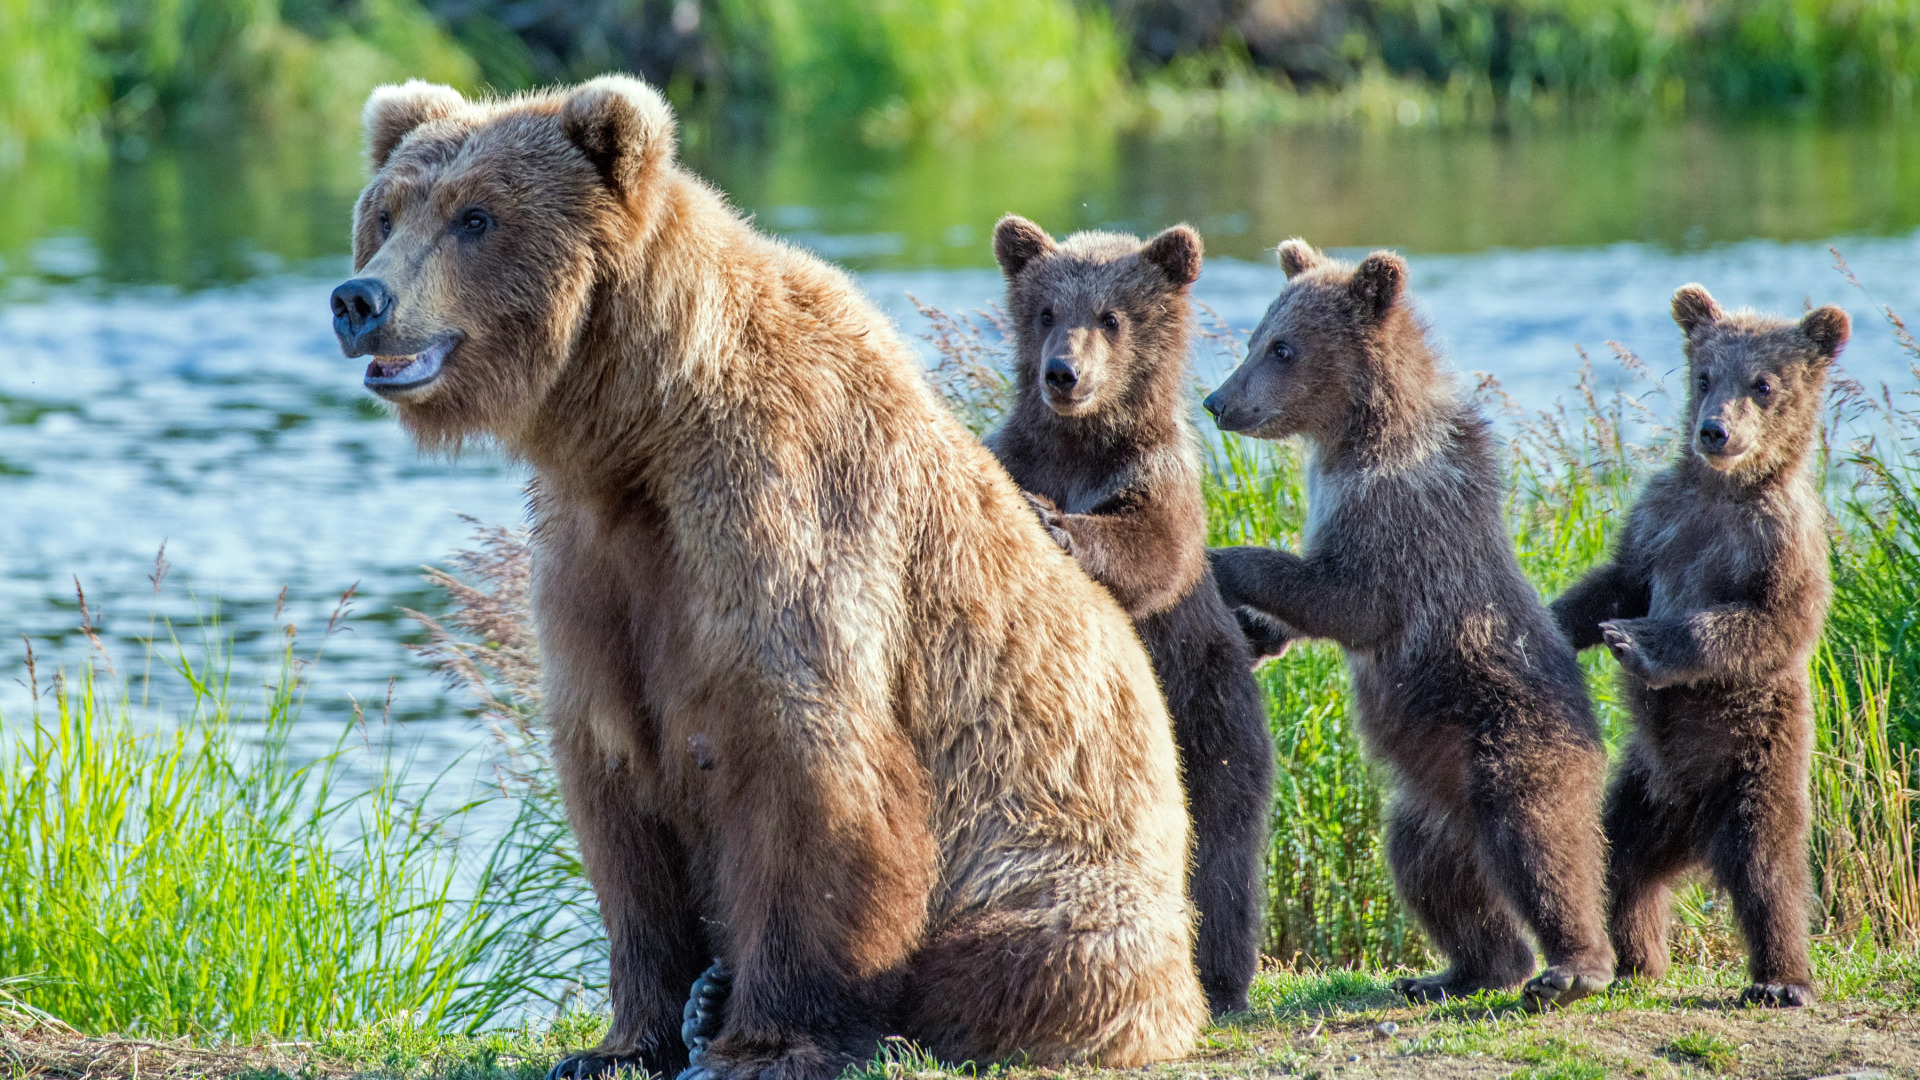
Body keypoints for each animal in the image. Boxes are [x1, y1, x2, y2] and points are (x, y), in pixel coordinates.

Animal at [326, 75, 1198, 1076]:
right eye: (386, 213)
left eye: (476, 216)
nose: (359, 299)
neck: (640, 428)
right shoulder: (595, 565)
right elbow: (615, 795)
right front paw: (622, 1040)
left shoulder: (780, 513)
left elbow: (808, 771)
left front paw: (761, 1040)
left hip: (1062, 859)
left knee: (1029, 952)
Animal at [990, 216, 1274, 1006]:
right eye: (1045, 311)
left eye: (1111, 316)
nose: (1063, 373)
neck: (1080, 448)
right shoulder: (1015, 452)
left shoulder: (1158, 478)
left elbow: (1150, 547)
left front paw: (1056, 523)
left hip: (1208, 706)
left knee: (1221, 840)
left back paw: (1220, 976)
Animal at [1205, 237, 1612, 1006]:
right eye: (1253, 338)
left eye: (1282, 347)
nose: (1217, 401)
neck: (1354, 435)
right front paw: (1256, 632)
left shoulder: (1399, 516)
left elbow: (1345, 597)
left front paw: (1220, 560)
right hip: (1428, 802)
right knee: (1433, 875)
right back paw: (1458, 970)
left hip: (1513, 740)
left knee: (1541, 842)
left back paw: (1574, 967)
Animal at [1551, 282, 1850, 1006]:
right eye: (1705, 375)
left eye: (1764, 383)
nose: (1714, 430)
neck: (1723, 490)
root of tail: (1694, 830)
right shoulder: (1660, 517)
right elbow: (1617, 582)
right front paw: (1558, 621)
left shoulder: (1782, 540)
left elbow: (1763, 622)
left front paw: (1636, 641)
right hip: (1644, 789)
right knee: (1622, 861)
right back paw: (1638, 958)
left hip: (1755, 765)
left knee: (1768, 869)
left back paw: (1782, 979)